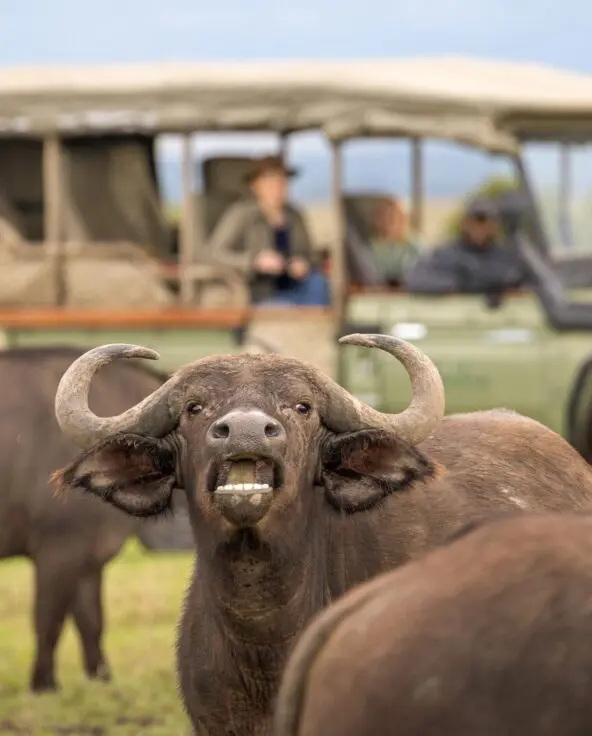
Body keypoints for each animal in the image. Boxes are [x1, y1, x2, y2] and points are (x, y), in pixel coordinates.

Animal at [0, 346, 172, 693]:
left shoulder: (88, 556)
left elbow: (91, 620)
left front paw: (101, 678)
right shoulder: (58, 551)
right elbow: (49, 619)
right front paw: (43, 685)